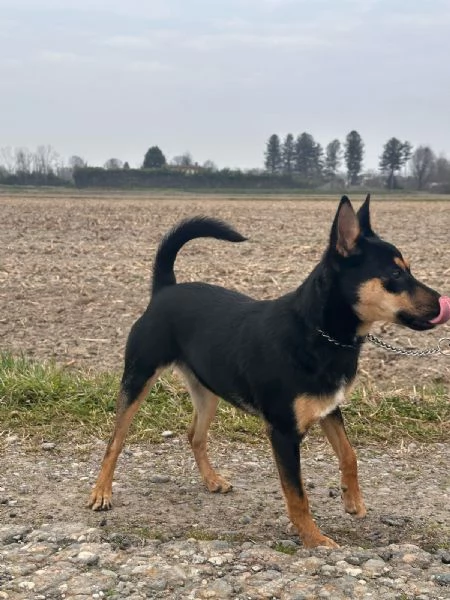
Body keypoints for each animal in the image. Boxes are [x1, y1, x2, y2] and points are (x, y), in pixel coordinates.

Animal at [88, 194, 445, 548]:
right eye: (395, 274)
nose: (442, 303)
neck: (317, 331)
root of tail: (165, 289)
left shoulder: (329, 408)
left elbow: (349, 454)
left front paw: (352, 500)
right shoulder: (283, 432)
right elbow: (297, 495)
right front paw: (314, 539)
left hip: (207, 390)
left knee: (195, 436)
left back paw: (212, 480)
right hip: (138, 378)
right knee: (115, 440)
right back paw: (101, 492)